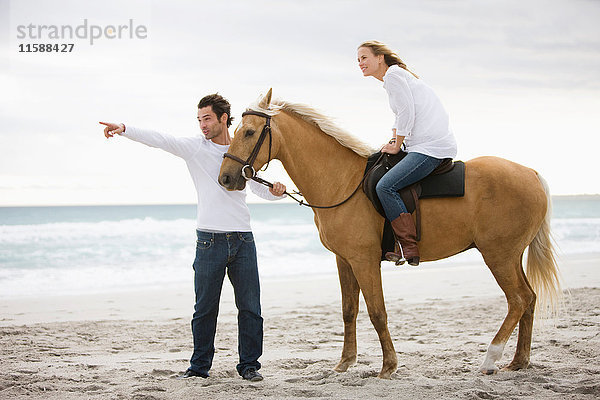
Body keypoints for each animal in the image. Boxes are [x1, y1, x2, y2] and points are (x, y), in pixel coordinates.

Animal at [219, 89, 564, 380]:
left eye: (249, 132)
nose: (225, 178)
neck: (343, 181)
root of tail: (531, 174)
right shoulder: (344, 260)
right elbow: (349, 311)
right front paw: (344, 363)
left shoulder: (364, 261)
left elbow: (377, 312)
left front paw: (388, 366)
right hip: (510, 256)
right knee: (530, 299)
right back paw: (518, 361)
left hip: (498, 255)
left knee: (518, 299)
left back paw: (491, 358)